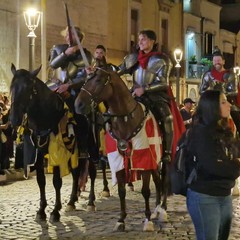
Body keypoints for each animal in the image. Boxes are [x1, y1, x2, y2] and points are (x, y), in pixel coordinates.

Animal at [8, 64, 96, 223]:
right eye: (12, 87)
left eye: (29, 88)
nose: (14, 118)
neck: (45, 115)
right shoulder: (39, 152)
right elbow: (41, 180)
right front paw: (42, 210)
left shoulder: (57, 151)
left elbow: (56, 181)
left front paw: (55, 211)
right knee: (76, 173)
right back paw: (72, 201)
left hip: (90, 147)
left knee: (91, 171)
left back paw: (91, 201)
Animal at [75, 60, 169, 231]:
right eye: (86, 78)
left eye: (98, 80)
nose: (78, 105)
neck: (126, 118)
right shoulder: (115, 157)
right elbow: (121, 190)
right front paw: (121, 220)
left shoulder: (143, 157)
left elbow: (145, 190)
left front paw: (147, 220)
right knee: (158, 181)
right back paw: (157, 208)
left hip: (162, 156)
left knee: (164, 179)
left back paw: (162, 210)